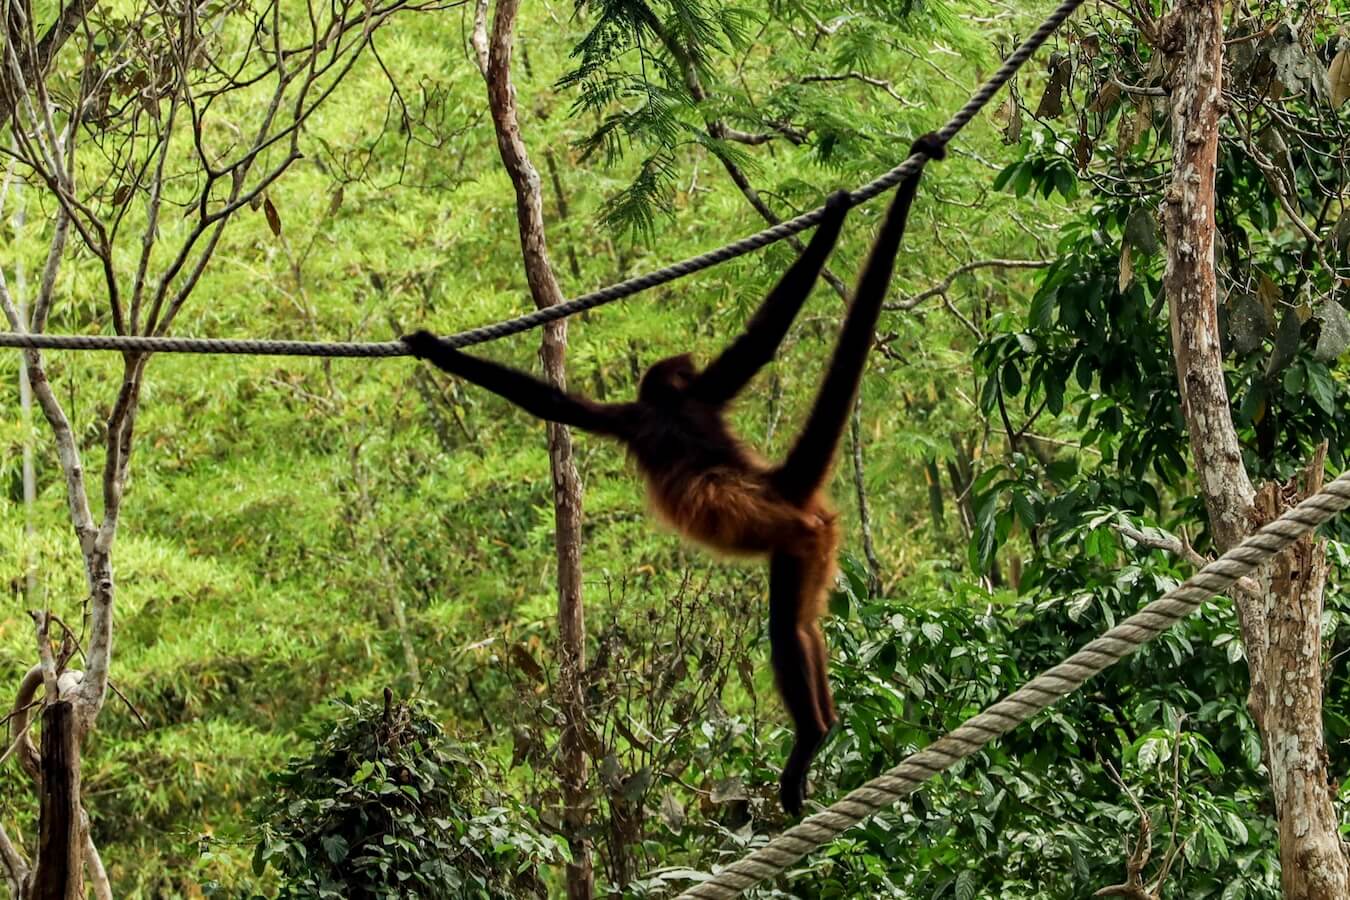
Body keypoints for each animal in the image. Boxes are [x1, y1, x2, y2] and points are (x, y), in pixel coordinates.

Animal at [403, 133, 945, 814]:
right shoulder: (709, 391)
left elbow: (555, 404)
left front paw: (433, 349)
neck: (672, 405)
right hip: (819, 540)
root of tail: (781, 485)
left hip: (795, 538)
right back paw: (826, 727)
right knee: (806, 624)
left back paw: (810, 738)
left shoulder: (635, 419)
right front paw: (834, 217)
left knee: (783, 627)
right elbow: (760, 343)